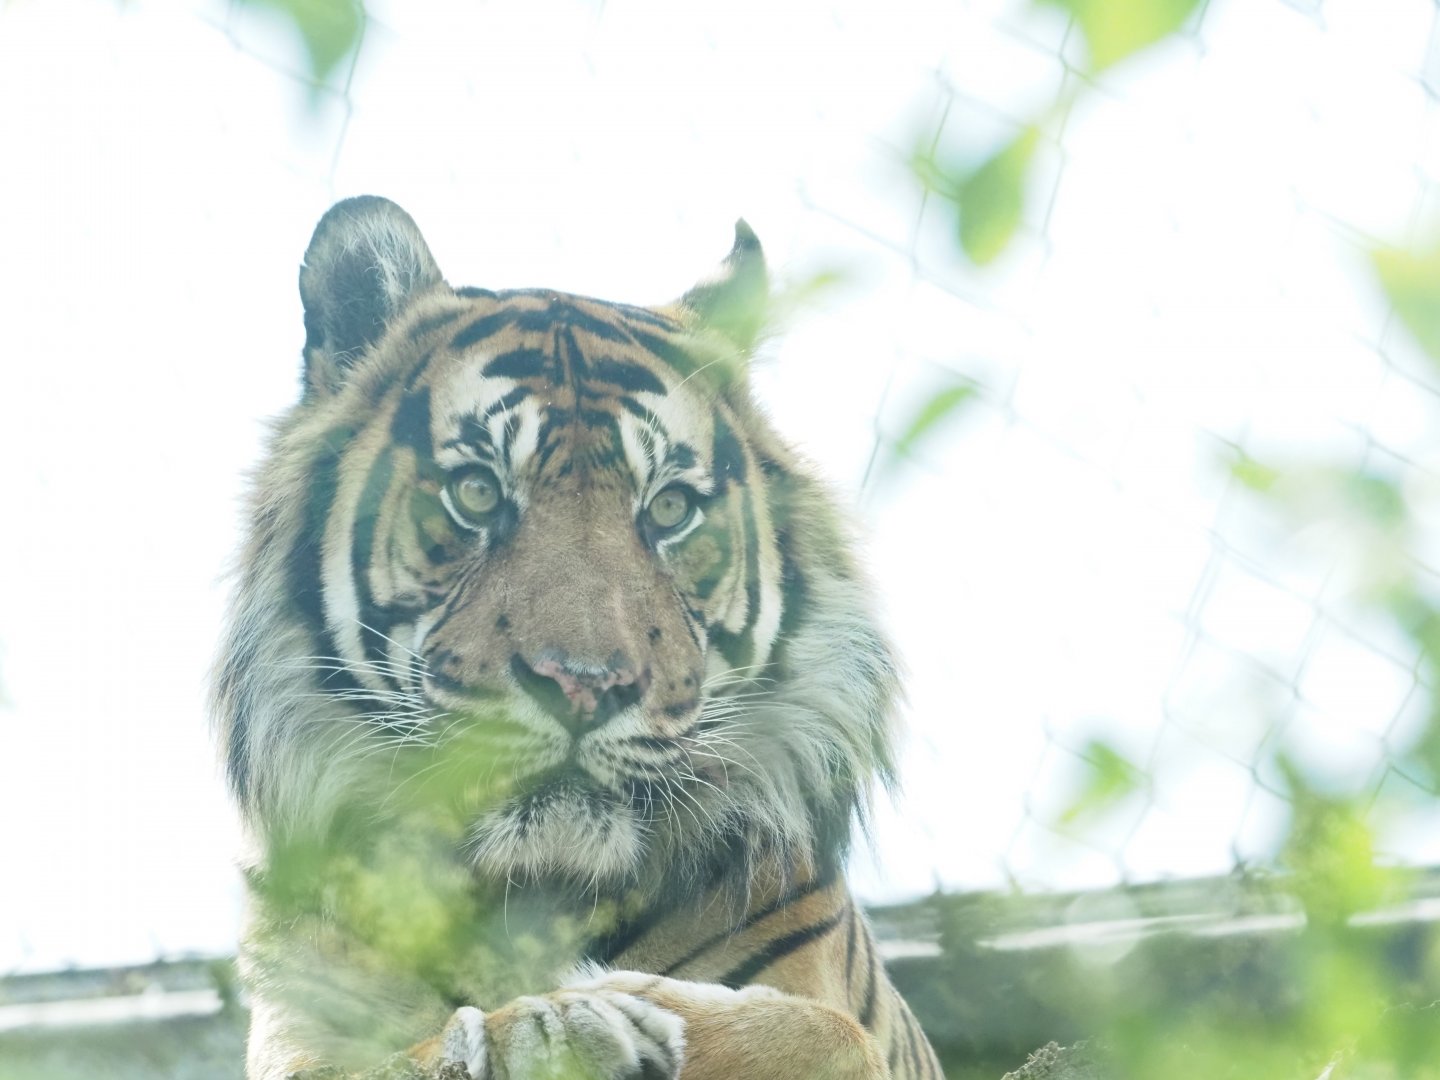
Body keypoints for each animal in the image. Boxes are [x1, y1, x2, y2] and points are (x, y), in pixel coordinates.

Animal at [214, 195, 945, 1080]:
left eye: (669, 509)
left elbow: (817, 1031)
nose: (584, 685)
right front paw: (538, 1029)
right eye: (477, 492)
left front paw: (594, 1015)